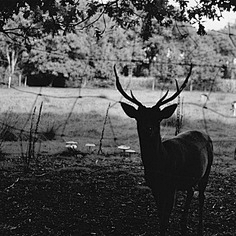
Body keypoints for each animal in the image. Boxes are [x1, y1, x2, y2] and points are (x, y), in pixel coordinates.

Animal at [115, 63, 214, 235]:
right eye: (139, 117)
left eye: (158, 118)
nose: (148, 129)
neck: (160, 165)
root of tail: (204, 134)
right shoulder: (154, 187)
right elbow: (161, 216)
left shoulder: (171, 186)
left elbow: (165, 219)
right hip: (190, 178)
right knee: (190, 192)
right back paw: (183, 224)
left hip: (207, 170)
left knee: (201, 196)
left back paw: (200, 228)